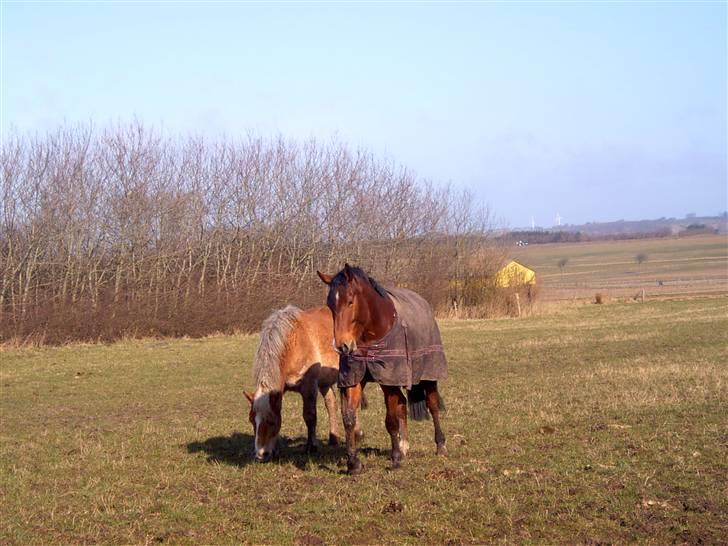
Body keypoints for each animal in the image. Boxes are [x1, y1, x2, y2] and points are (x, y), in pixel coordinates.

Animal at [245, 304, 364, 462]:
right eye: (252, 421)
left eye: (271, 421)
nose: (260, 455)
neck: (293, 342)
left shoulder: (309, 386)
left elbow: (309, 416)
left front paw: (311, 446)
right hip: (325, 382)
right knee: (331, 403)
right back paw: (334, 437)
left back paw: (357, 433)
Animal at [320, 264, 450, 472]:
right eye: (330, 305)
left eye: (350, 301)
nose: (342, 346)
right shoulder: (355, 379)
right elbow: (349, 419)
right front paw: (353, 463)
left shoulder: (389, 381)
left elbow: (391, 420)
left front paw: (395, 459)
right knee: (403, 404)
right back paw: (404, 447)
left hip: (428, 376)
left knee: (433, 405)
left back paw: (440, 445)